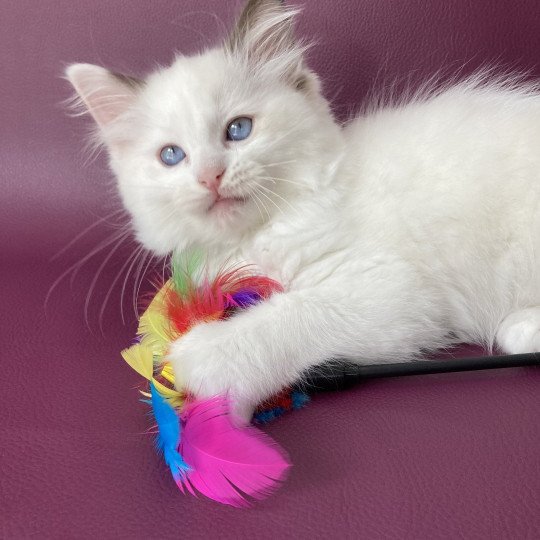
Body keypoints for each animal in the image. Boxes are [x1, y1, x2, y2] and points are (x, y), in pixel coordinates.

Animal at [66, 0, 540, 418]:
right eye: (171, 156)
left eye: (238, 129)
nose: (210, 177)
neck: (257, 236)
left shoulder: (390, 290)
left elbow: (288, 317)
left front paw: (199, 361)